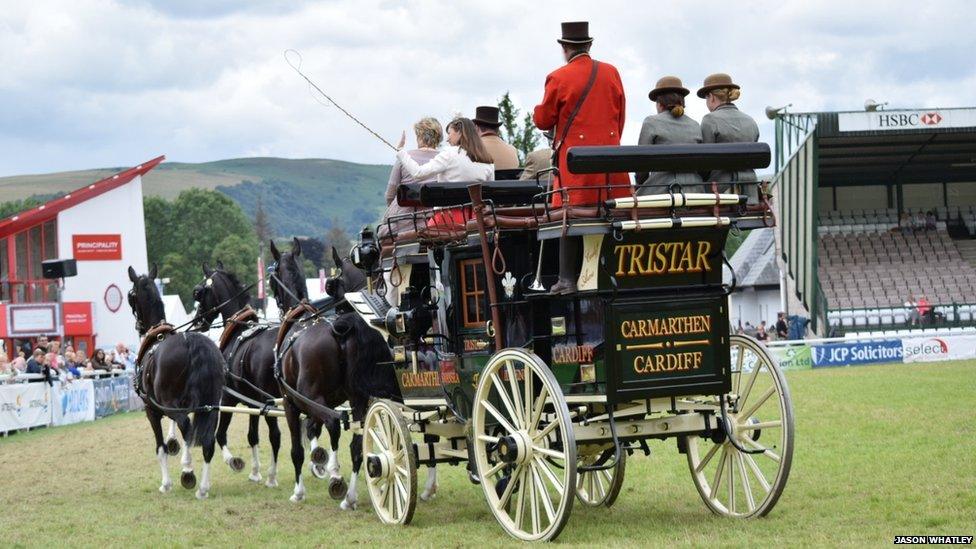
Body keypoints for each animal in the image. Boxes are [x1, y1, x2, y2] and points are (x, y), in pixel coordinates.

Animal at [126, 264, 223, 498]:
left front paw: (166, 483)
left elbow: (160, 447)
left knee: (187, 428)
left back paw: (188, 472)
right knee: (208, 441)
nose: (138, 326)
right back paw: (203, 488)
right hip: (211, 406)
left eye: (131, 296)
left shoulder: (152, 410)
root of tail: (190, 342)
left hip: (173, 405)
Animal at [190, 264, 282, 486]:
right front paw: (255, 472)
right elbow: (252, 436)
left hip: (269, 399)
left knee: (276, 435)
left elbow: (220, 435)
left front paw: (234, 461)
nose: (197, 321)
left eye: (198, 292)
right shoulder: (253, 403)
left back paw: (272, 476)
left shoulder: (228, 398)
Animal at [266, 238, 400, 508]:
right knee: (358, 444)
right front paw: (320, 465)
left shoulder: (290, 402)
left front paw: (300, 490)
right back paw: (350, 497)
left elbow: (297, 450)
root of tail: (341, 330)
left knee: (334, 423)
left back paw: (337, 476)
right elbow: (313, 431)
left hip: (313, 397)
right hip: (358, 399)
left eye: (272, 276)